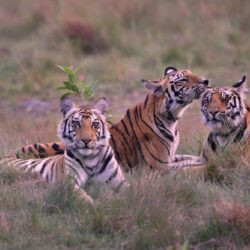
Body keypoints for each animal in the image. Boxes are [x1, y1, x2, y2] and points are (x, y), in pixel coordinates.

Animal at [0, 97, 128, 203]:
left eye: (94, 124)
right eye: (76, 123)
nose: (86, 140)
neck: (90, 158)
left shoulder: (119, 183)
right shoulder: (68, 182)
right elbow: (81, 195)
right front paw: (91, 204)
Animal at [14, 66, 208, 172]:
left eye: (192, 73)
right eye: (183, 79)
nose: (206, 81)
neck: (173, 118)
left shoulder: (172, 156)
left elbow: (192, 158)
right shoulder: (160, 166)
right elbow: (189, 167)